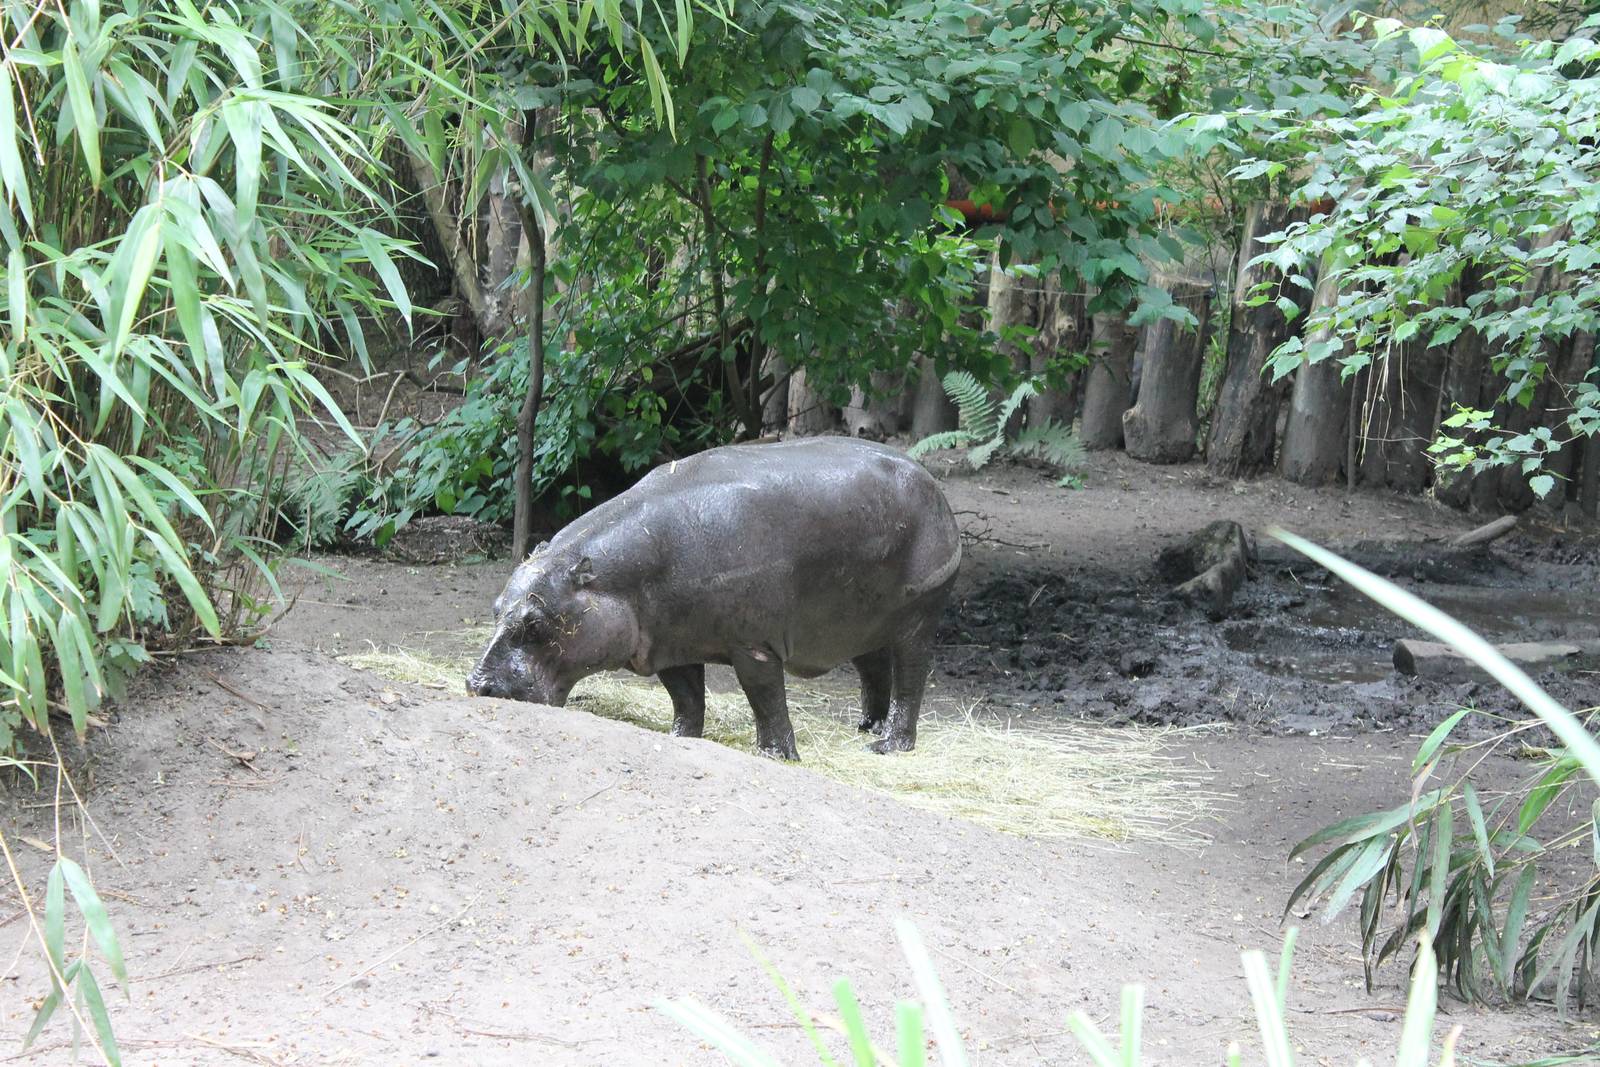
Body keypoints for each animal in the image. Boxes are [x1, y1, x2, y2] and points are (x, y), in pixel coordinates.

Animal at [466, 437, 961, 759]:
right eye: (495, 610)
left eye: (534, 622)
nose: (477, 685)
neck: (618, 580)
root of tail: (930, 479)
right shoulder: (669, 644)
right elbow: (686, 697)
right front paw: (680, 738)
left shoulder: (754, 646)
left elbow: (765, 698)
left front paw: (775, 755)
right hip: (860, 618)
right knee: (872, 667)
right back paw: (866, 726)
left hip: (917, 616)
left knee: (910, 677)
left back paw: (887, 745)